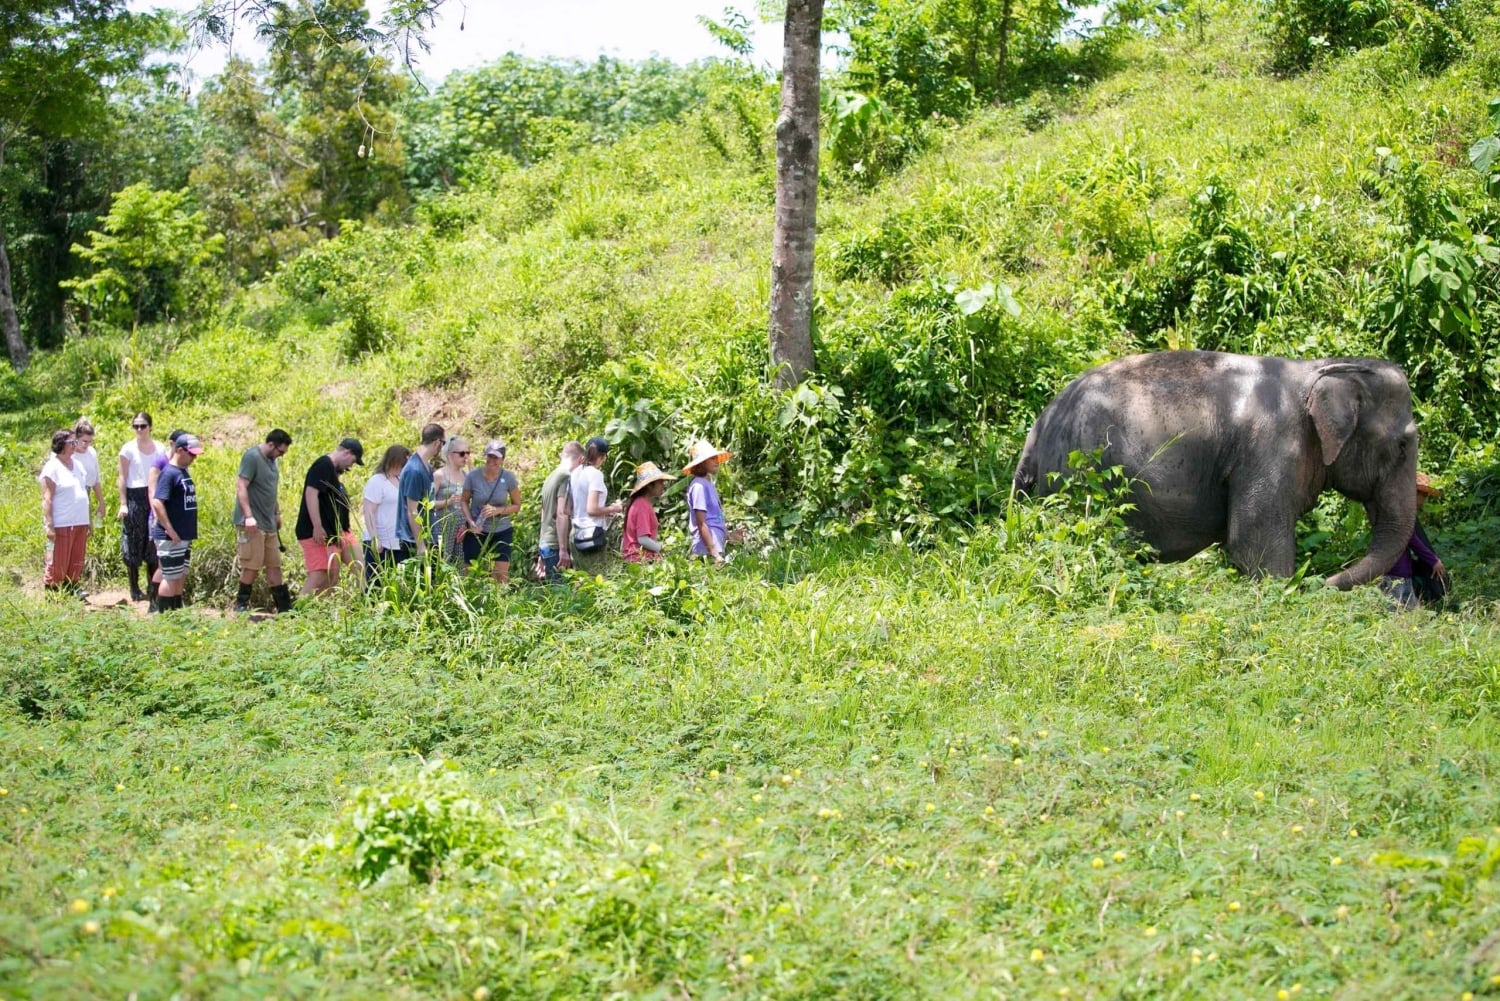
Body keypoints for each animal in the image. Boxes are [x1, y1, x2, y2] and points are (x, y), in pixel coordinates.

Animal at [1011, 350, 1419, 590]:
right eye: (1402, 446)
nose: (1319, 581)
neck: (1319, 369)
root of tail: (1037, 430)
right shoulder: (1270, 445)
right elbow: (1254, 548)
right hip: (1080, 476)